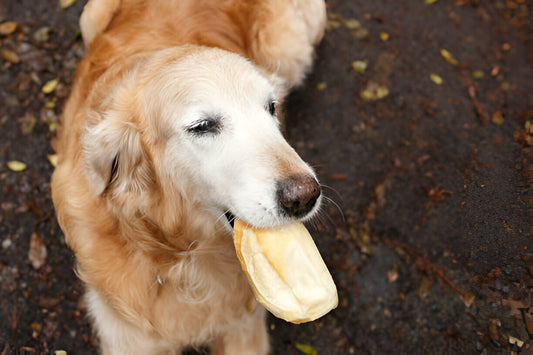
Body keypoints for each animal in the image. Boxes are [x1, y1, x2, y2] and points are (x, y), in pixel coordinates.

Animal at [51, 0, 324, 354]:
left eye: (271, 108)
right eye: (203, 126)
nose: (304, 196)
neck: (182, 253)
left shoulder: (244, 327)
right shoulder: (128, 335)